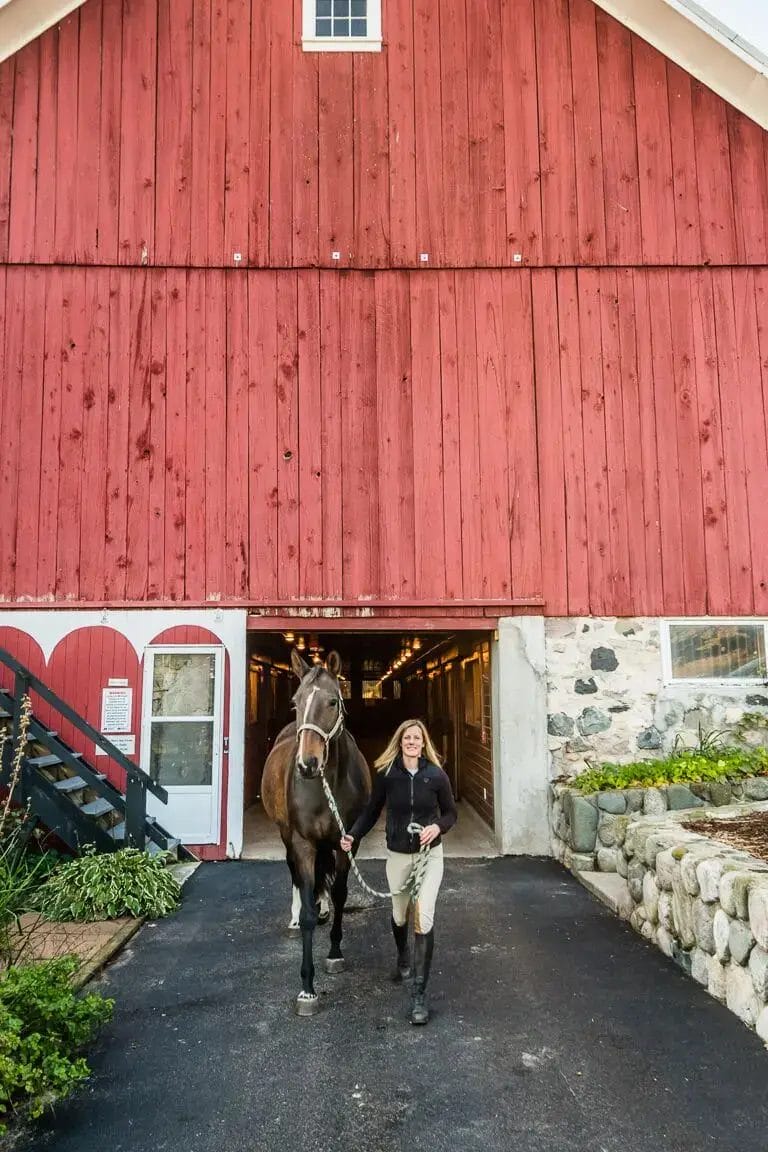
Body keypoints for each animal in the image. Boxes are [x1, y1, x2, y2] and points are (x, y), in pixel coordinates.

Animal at [261, 649, 373, 1018]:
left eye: (332, 702)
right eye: (296, 702)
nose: (307, 764)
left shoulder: (347, 841)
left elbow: (339, 894)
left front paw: (335, 953)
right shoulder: (303, 844)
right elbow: (309, 905)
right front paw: (307, 988)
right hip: (286, 836)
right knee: (296, 877)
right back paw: (295, 917)